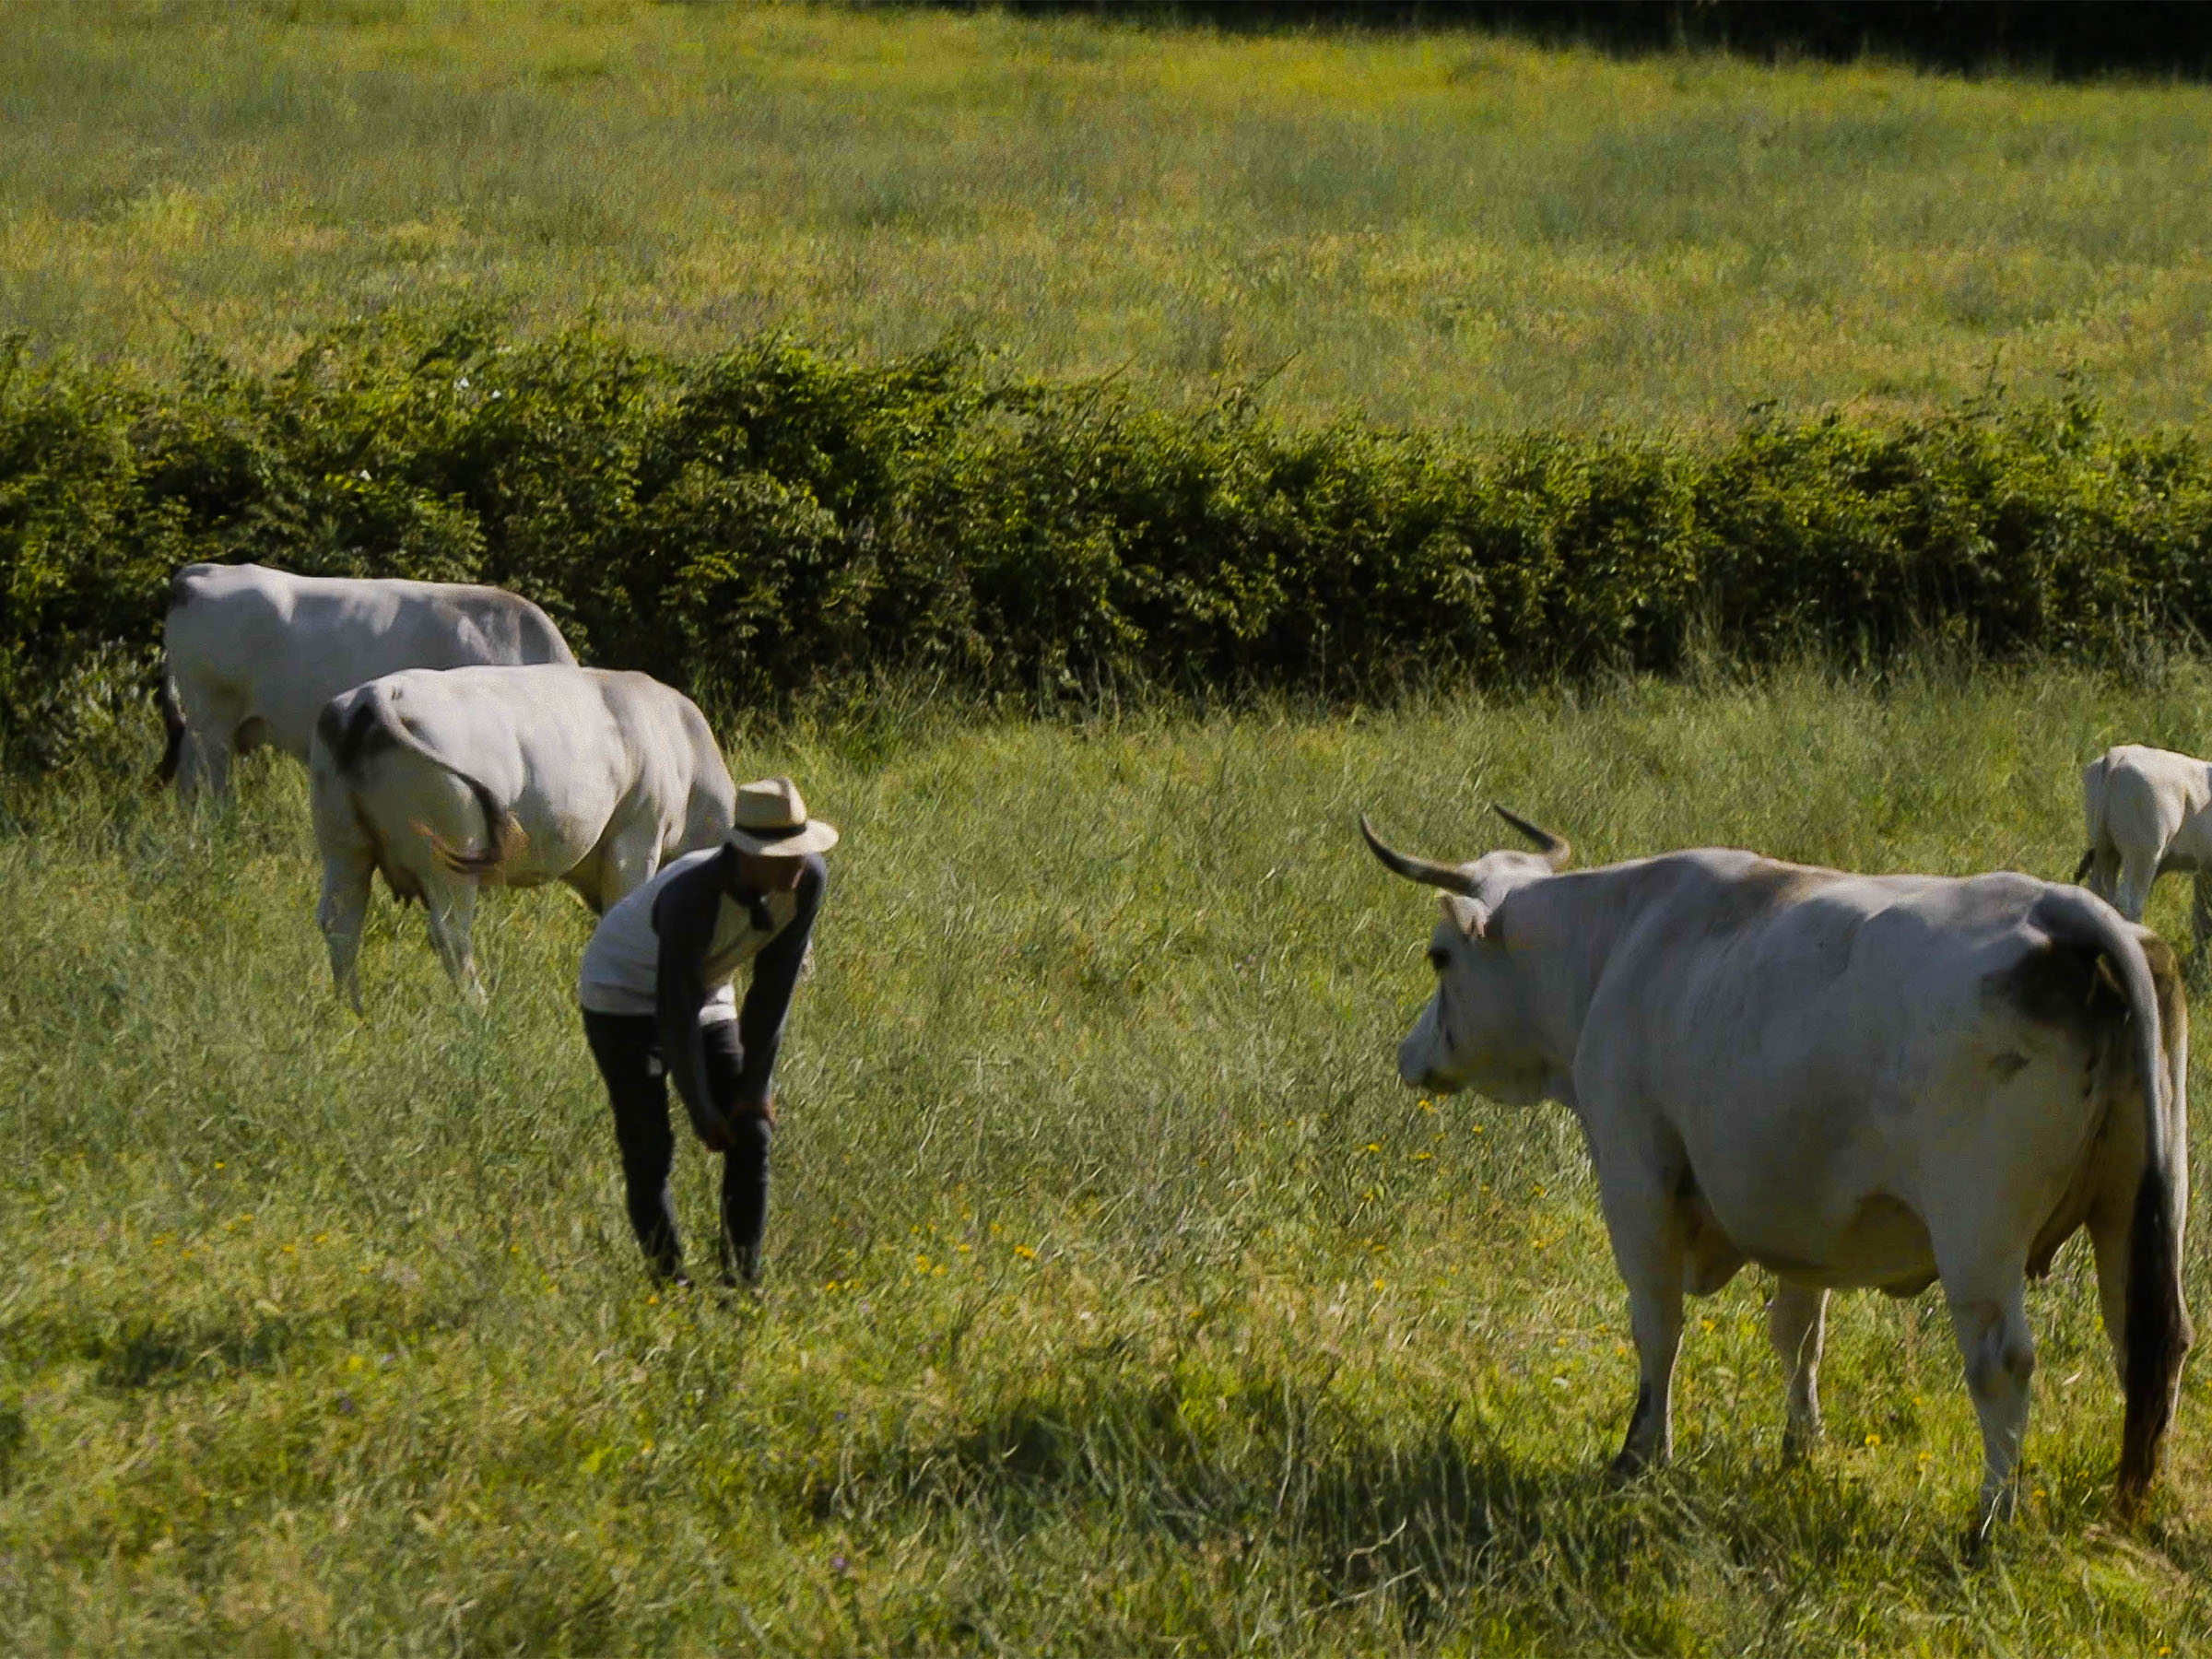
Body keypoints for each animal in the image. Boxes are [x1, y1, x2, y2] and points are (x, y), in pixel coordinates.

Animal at [310, 667, 734, 1013]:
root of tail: (379, 692)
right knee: (450, 934)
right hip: (448, 859)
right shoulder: (637, 841)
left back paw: (350, 1009)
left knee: (341, 924)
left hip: (343, 849)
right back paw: (478, 1008)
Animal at [1353, 814, 2185, 1539]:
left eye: (1438, 957)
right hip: (2135, 1212)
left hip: (1978, 1237)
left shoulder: (1634, 1175)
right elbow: (1798, 1334)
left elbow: (1657, 1327)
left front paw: (1640, 1456)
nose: (1406, 1053)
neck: (1618, 947)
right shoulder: (1808, 1216)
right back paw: (2136, 1508)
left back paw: (1988, 1522)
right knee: (2149, 1343)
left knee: (2004, 1363)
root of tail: (2058, 908)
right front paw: (1799, 1449)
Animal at [2070, 747, 2212, 955]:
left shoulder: (2204, 872)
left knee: (2099, 893)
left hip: (2106, 849)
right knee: (2129, 902)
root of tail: (2119, 753)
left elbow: (2202, 920)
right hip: (2143, 856)